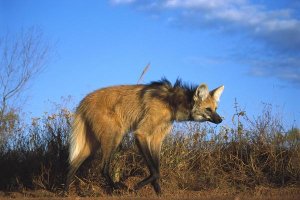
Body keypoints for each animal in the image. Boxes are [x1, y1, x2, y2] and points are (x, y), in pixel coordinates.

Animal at [66, 78, 225, 195]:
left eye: (216, 109)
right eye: (208, 109)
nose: (220, 120)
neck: (172, 102)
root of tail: (85, 100)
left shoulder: (156, 139)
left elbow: (157, 169)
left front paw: (159, 193)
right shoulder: (141, 134)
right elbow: (155, 171)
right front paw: (137, 186)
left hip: (92, 144)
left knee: (73, 164)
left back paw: (65, 192)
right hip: (114, 136)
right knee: (103, 168)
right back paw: (116, 189)